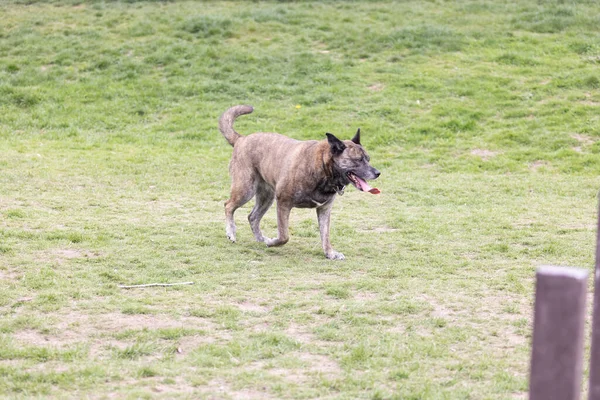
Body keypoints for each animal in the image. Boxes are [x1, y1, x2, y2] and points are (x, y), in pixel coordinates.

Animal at [219, 104, 380, 260]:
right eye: (358, 160)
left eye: (368, 159)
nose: (378, 173)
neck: (321, 168)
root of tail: (241, 139)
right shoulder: (283, 203)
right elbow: (284, 236)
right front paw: (273, 242)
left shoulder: (324, 210)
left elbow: (325, 236)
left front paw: (330, 253)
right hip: (245, 190)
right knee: (228, 206)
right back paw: (231, 232)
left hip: (267, 197)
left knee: (252, 217)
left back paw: (260, 238)